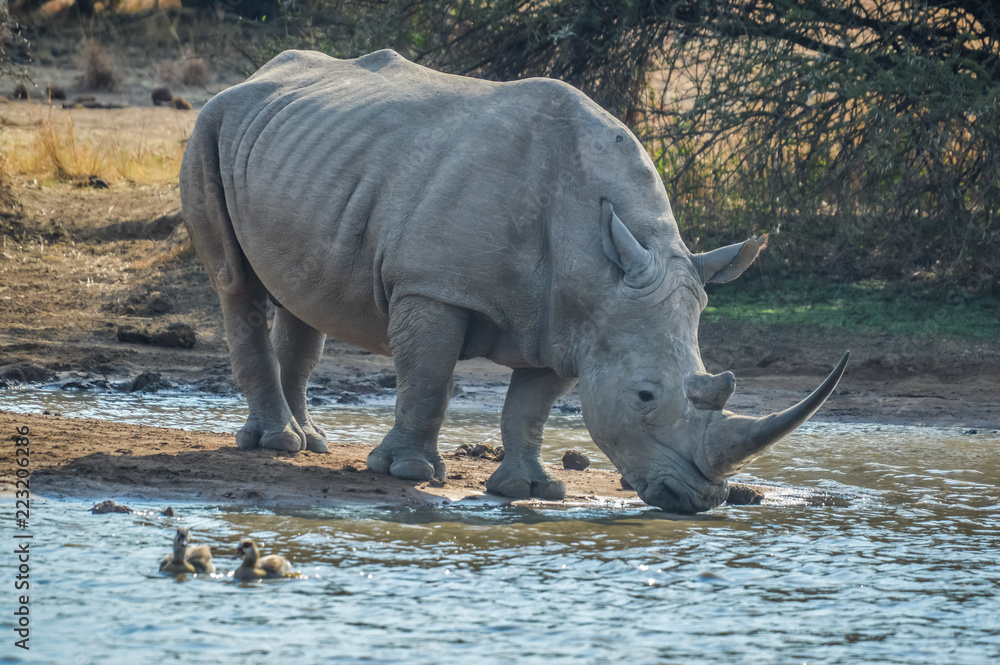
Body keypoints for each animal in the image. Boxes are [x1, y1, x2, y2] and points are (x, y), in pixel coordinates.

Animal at [180, 49, 849, 513]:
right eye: (644, 396)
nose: (701, 500)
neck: (598, 259)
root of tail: (255, 74)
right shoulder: (433, 286)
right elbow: (430, 379)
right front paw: (409, 475)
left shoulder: (571, 319)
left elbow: (530, 406)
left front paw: (531, 490)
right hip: (209, 126)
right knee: (237, 284)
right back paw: (278, 444)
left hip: (304, 152)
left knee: (302, 298)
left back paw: (310, 443)